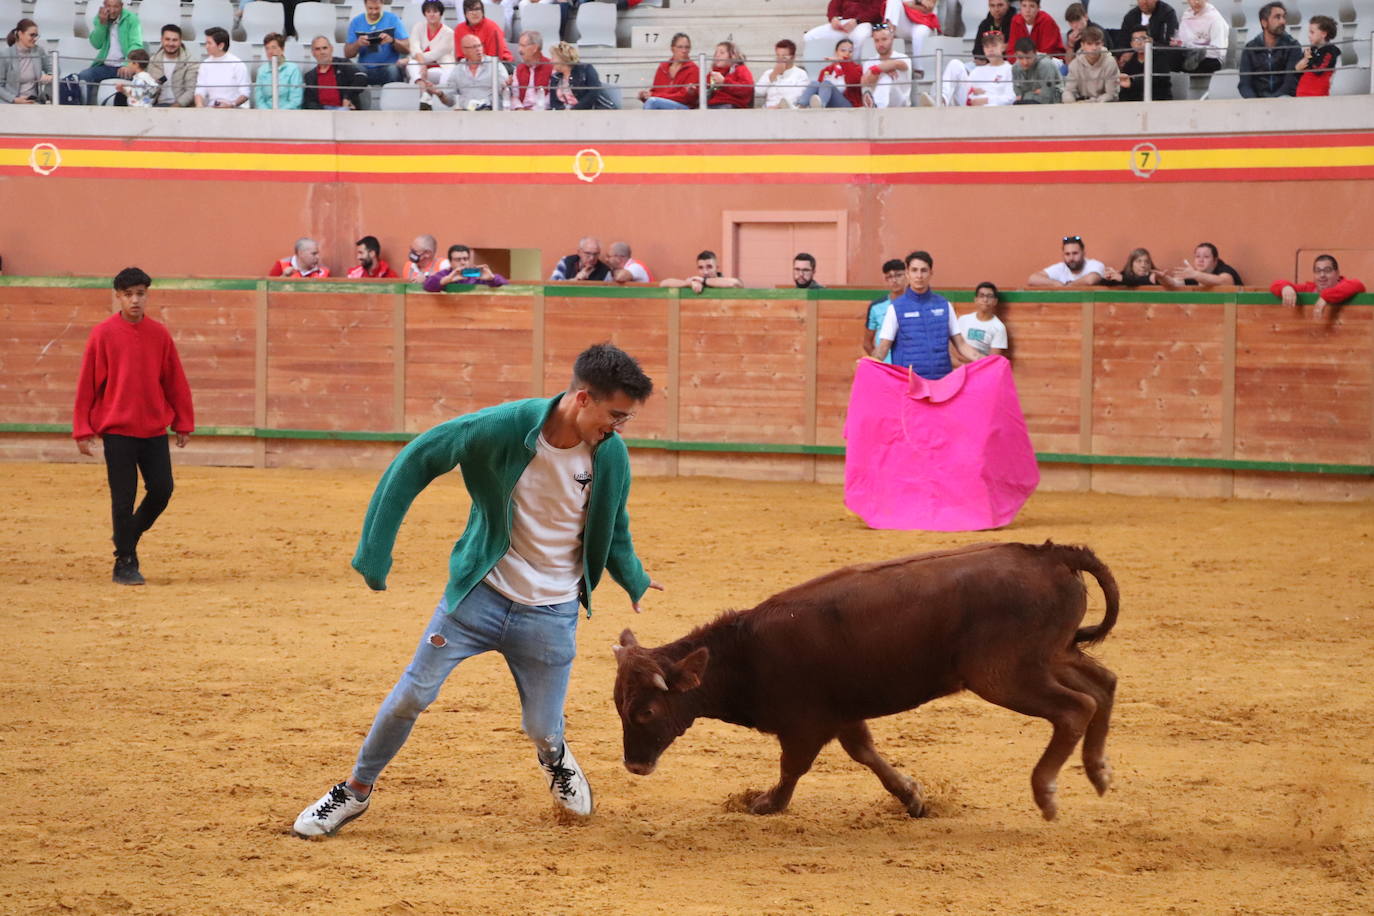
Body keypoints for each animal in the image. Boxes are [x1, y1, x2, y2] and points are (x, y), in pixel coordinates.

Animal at [612, 541, 1115, 818]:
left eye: (647, 710)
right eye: (620, 707)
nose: (634, 766)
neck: (745, 651)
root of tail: (1049, 556)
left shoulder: (805, 725)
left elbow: (793, 767)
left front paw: (767, 804)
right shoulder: (842, 716)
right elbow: (866, 753)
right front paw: (912, 798)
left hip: (1005, 675)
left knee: (1076, 708)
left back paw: (1047, 793)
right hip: (1052, 657)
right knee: (1103, 684)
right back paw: (1098, 771)